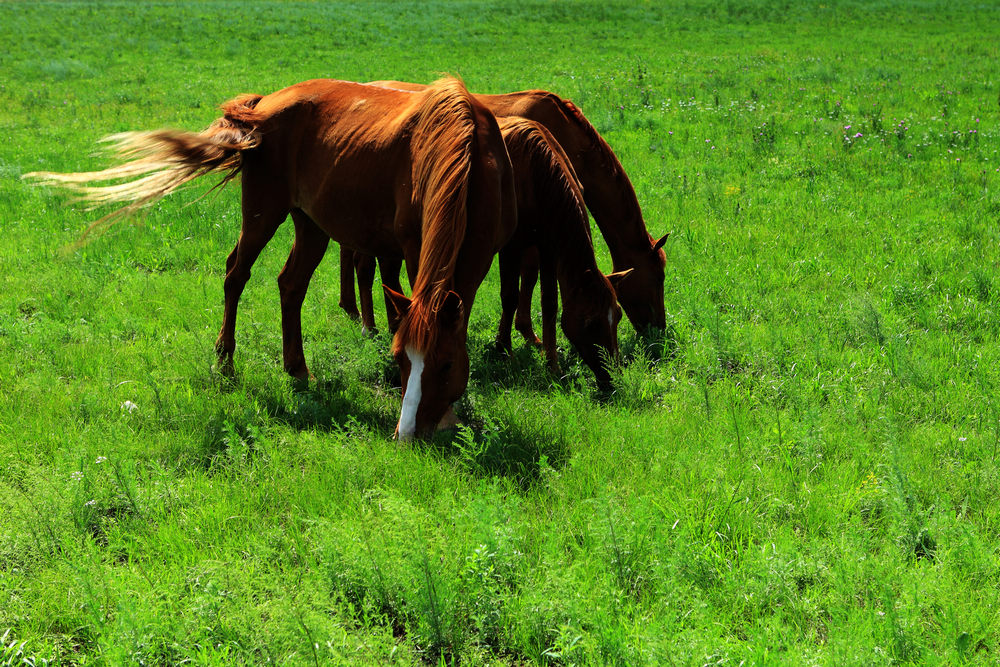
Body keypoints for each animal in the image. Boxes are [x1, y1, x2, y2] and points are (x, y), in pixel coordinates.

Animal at [25, 78, 516, 440]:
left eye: (445, 365)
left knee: (290, 284)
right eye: (399, 360)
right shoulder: (416, 252)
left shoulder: (479, 257)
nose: (408, 434)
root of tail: (263, 105)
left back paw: (297, 369)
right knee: (235, 274)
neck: (468, 156)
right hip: (264, 211)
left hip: (311, 224)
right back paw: (225, 362)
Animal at [362, 82, 672, 340]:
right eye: (659, 277)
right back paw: (369, 326)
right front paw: (521, 334)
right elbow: (526, 278)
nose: (659, 328)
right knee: (364, 268)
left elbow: (529, 278)